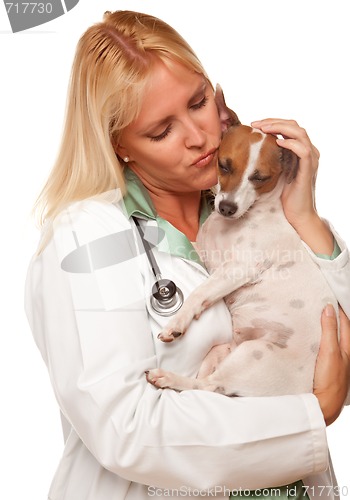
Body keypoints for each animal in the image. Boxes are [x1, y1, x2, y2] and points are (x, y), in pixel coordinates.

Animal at [145, 88, 336, 396]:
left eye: (260, 178)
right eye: (223, 165)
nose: (226, 208)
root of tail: (302, 389)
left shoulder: (237, 268)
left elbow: (199, 293)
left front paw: (177, 322)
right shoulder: (207, 253)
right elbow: (192, 248)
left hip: (254, 355)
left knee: (209, 387)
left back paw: (168, 378)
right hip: (224, 351)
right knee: (205, 383)